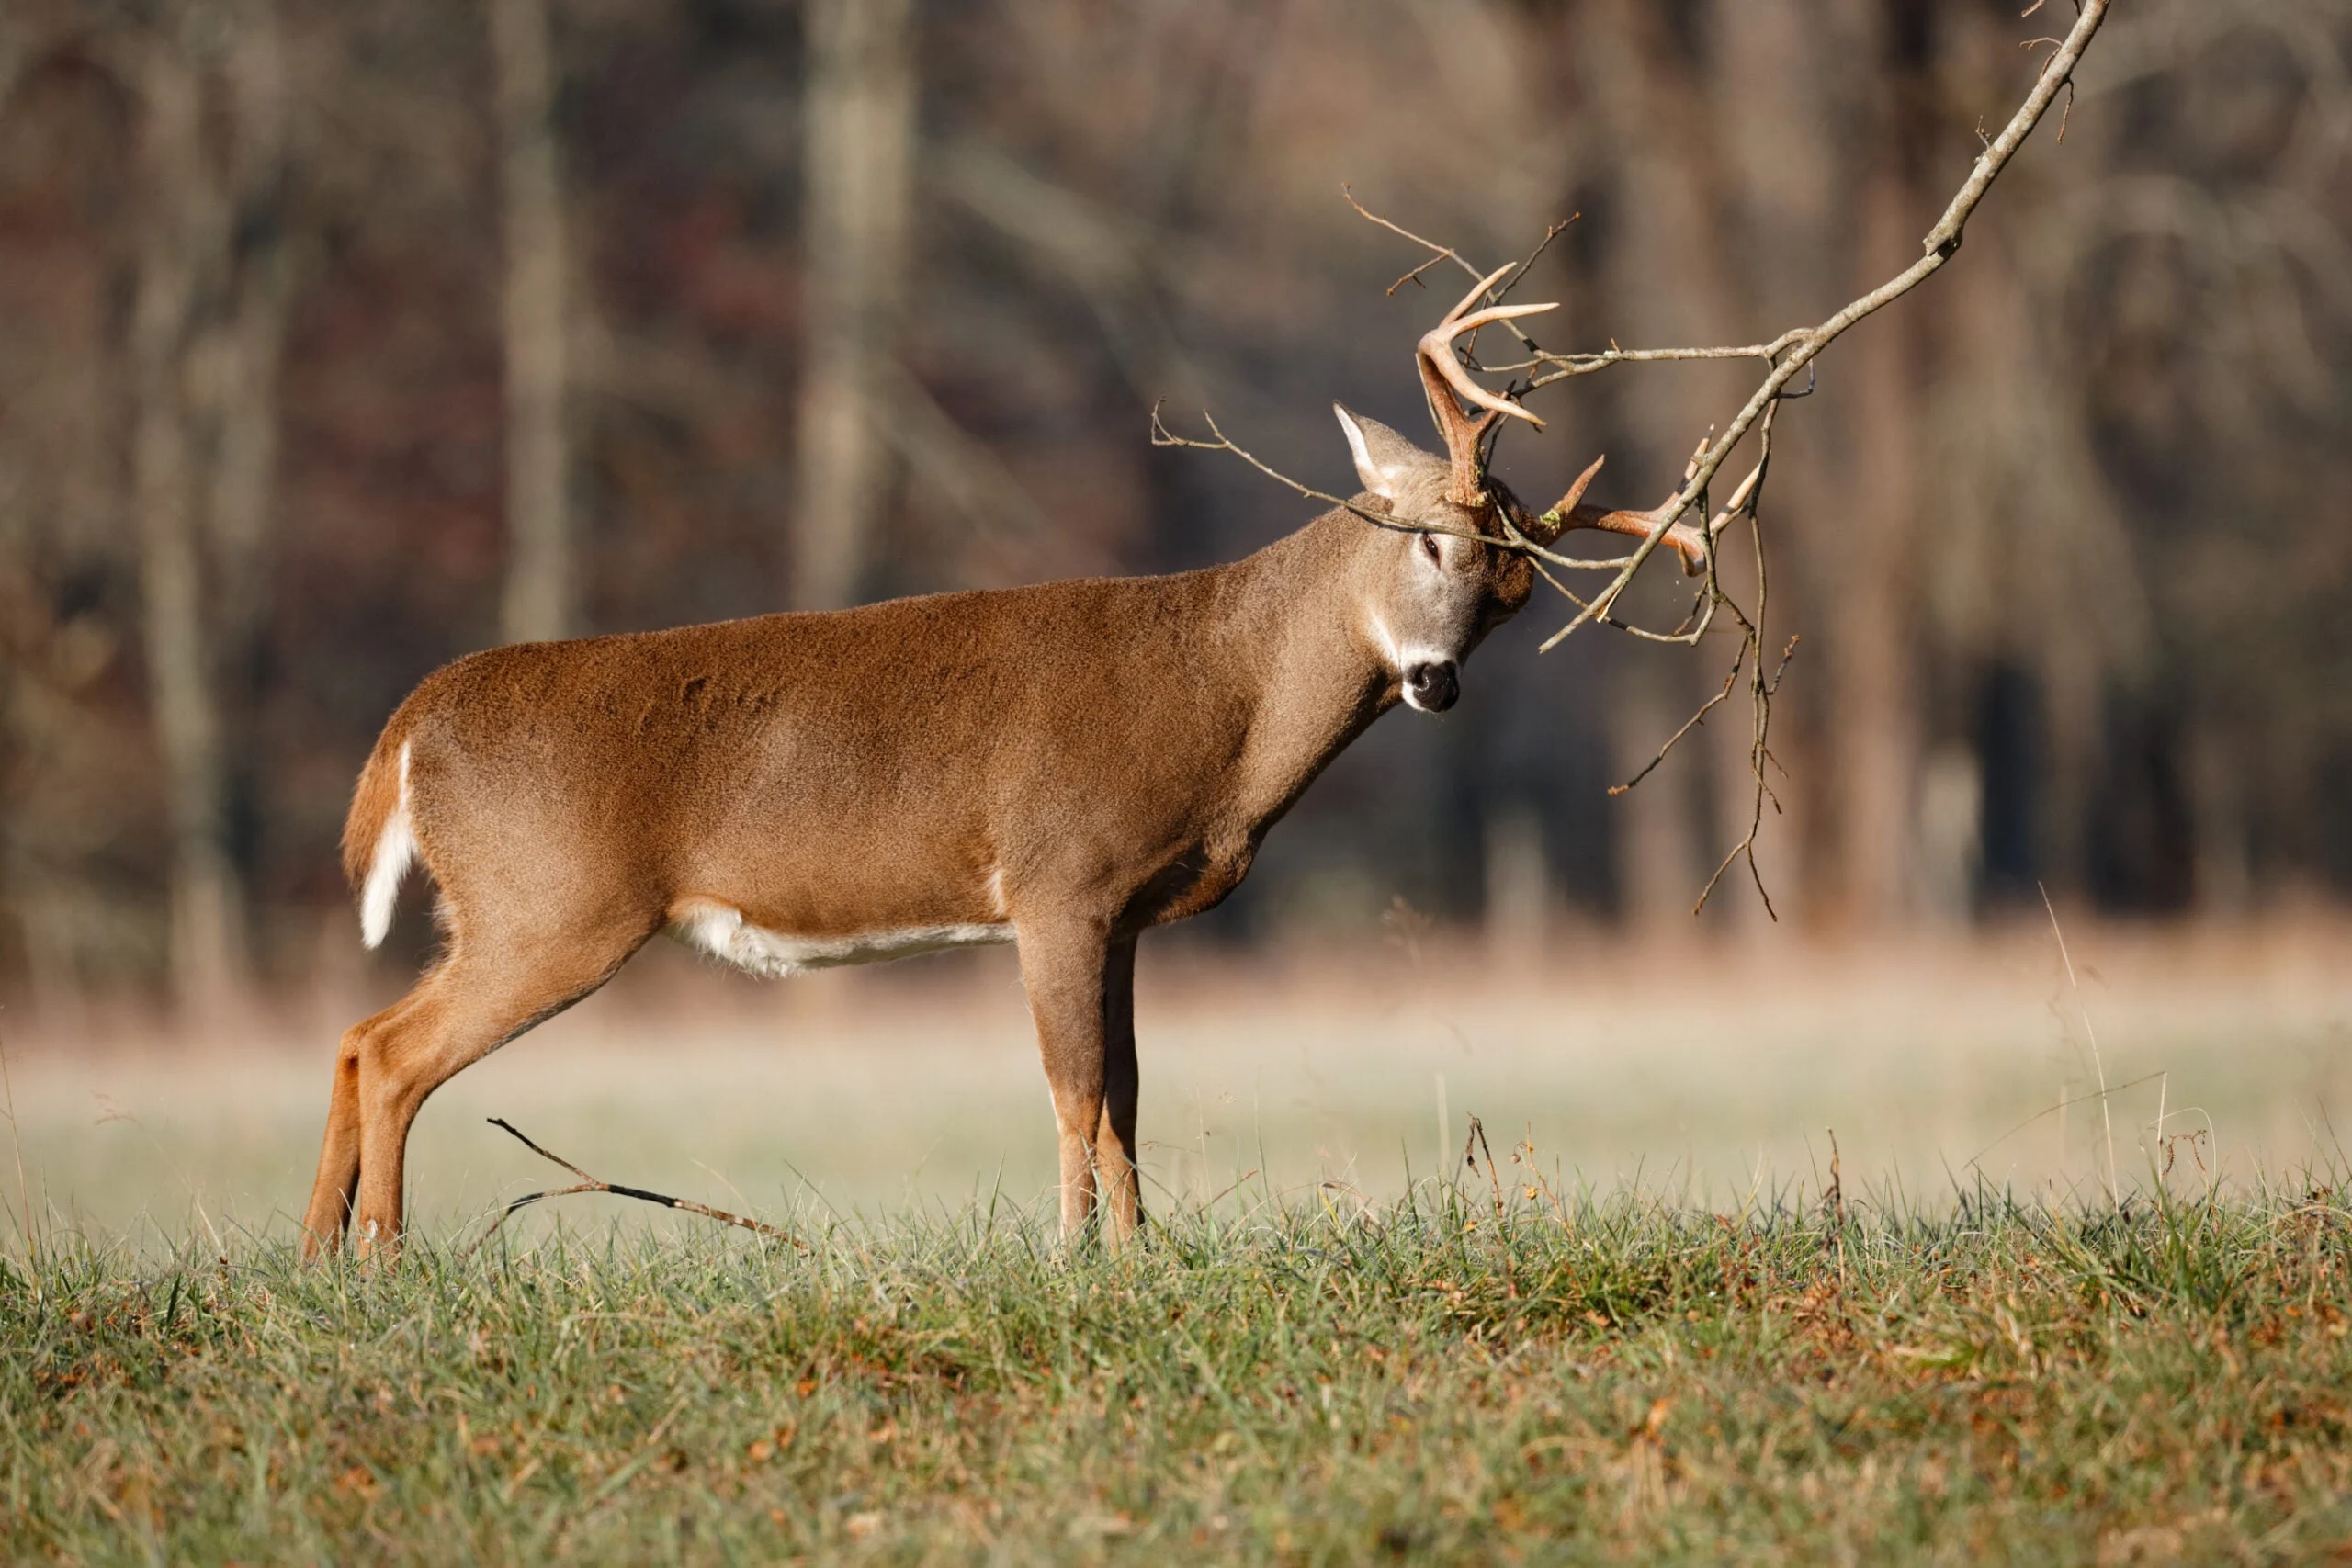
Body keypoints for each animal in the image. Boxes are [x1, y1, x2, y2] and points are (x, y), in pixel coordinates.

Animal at [303, 270, 1702, 1259]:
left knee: (359, 1034)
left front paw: (1141, 1257)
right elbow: (1074, 1090)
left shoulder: (1119, 909)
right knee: (396, 1051)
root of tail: (411, 722)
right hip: (553, 904)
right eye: (1423, 539)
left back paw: (323, 1257)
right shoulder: (1055, 879)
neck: (1225, 695)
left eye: (1516, 596)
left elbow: (1127, 1090)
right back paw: (381, 1259)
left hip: (508, 911)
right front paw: (1075, 1255)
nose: (1435, 681)